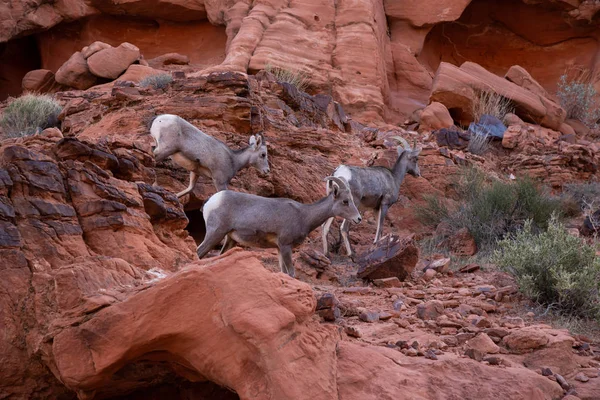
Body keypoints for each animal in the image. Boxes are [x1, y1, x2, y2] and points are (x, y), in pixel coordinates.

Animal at [196, 178, 360, 278]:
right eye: (345, 201)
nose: (358, 219)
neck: (303, 215)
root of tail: (211, 201)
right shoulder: (286, 246)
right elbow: (291, 274)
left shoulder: (279, 249)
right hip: (215, 234)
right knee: (199, 252)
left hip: (230, 239)